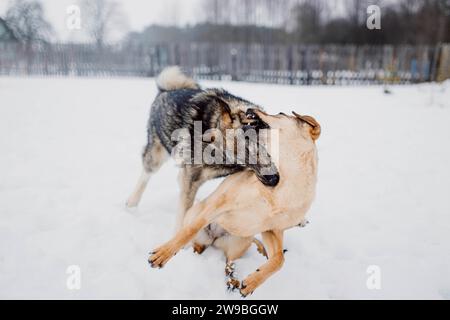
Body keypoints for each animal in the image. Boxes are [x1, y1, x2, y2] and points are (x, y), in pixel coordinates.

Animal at [126, 67, 280, 231]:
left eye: (271, 146)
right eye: (246, 147)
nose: (275, 179)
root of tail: (165, 90)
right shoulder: (191, 177)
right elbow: (183, 213)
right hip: (156, 155)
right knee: (146, 174)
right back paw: (131, 203)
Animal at [149, 109, 320, 296]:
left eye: (280, 113)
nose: (250, 110)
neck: (283, 187)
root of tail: (214, 239)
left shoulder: (272, 230)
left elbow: (279, 260)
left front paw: (253, 281)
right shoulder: (219, 203)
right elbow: (189, 230)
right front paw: (163, 254)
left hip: (241, 241)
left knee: (228, 261)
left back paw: (234, 280)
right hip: (198, 216)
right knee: (195, 241)